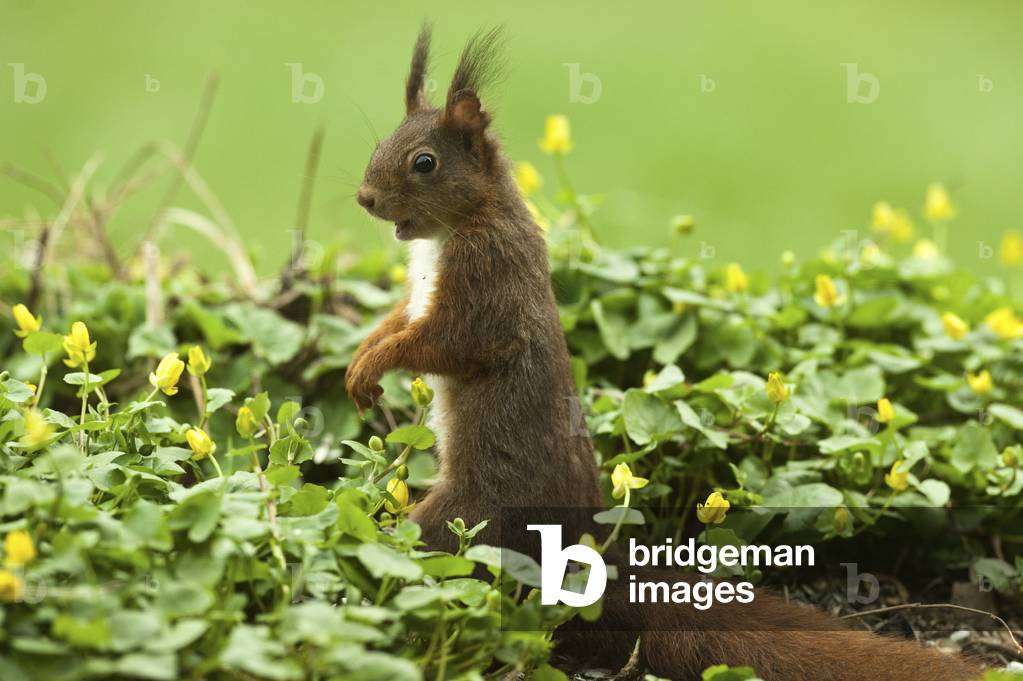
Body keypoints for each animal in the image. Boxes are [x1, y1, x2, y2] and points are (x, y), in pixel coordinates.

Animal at [346, 25, 985, 681]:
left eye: (424, 162)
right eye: (383, 144)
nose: (365, 198)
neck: (463, 223)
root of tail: (581, 546)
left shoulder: (487, 285)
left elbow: (447, 341)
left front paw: (373, 364)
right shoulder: (421, 293)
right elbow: (401, 320)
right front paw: (363, 355)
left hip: (463, 521)